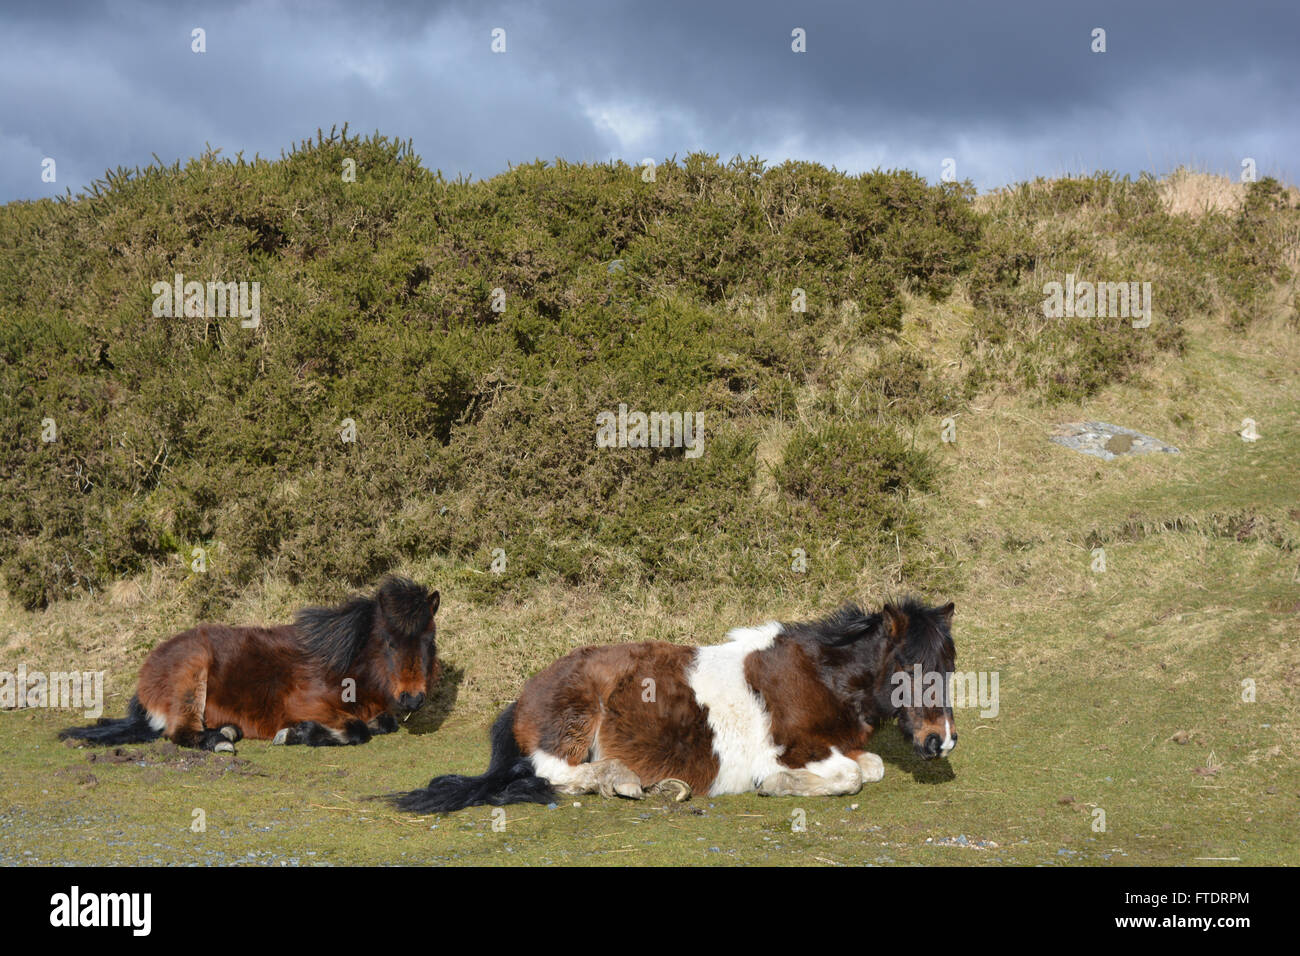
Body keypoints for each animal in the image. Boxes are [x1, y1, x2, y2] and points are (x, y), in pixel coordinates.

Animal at [60, 576, 441, 753]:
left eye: (429, 641)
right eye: (390, 642)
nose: (413, 699)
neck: (346, 667)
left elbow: (384, 723)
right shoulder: (304, 703)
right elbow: (357, 730)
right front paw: (296, 734)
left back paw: (227, 731)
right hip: (192, 673)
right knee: (180, 733)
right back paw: (221, 741)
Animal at [392, 596, 955, 813]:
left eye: (948, 664)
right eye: (908, 666)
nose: (941, 742)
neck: (822, 676)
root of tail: (524, 694)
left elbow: (872, 766)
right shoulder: (799, 749)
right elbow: (853, 776)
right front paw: (775, 785)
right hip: (577, 721)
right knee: (554, 772)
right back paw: (621, 780)